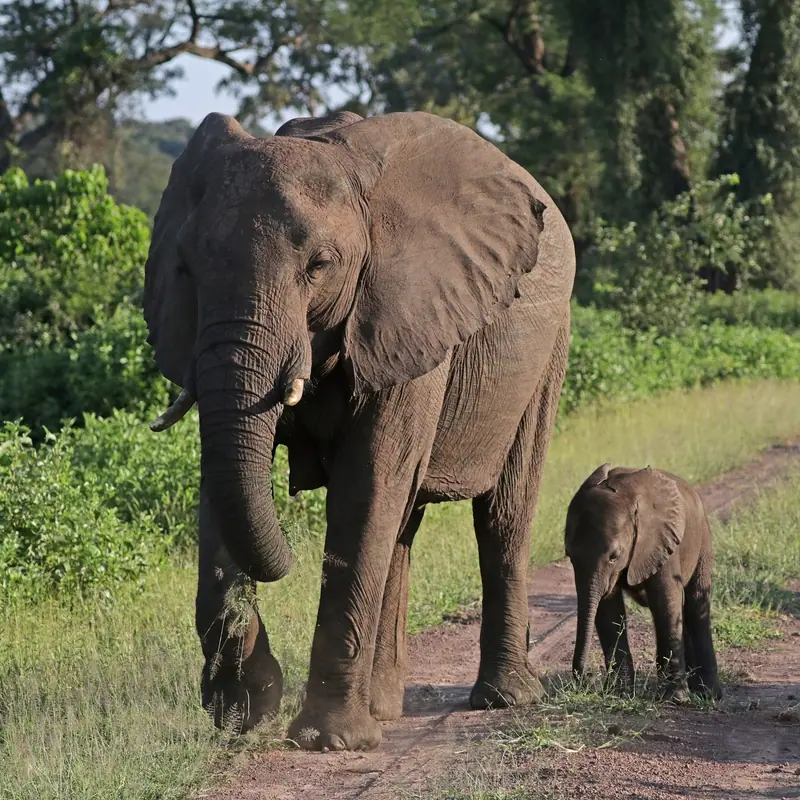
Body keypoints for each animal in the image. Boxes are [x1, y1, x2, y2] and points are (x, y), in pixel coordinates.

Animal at [143, 109, 575, 751]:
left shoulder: (408, 315)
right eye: (187, 269)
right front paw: (245, 709)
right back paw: (384, 707)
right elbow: (221, 483)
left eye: (319, 266)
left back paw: (502, 699)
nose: (287, 556)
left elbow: (365, 486)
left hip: (549, 347)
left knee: (502, 513)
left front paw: (327, 741)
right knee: (403, 524)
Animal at [565, 463, 722, 701]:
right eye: (569, 556)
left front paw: (675, 698)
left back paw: (709, 694)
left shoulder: (660, 540)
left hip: (703, 539)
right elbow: (609, 610)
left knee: (695, 606)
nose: (586, 679)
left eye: (614, 556)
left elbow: (666, 602)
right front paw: (619, 694)